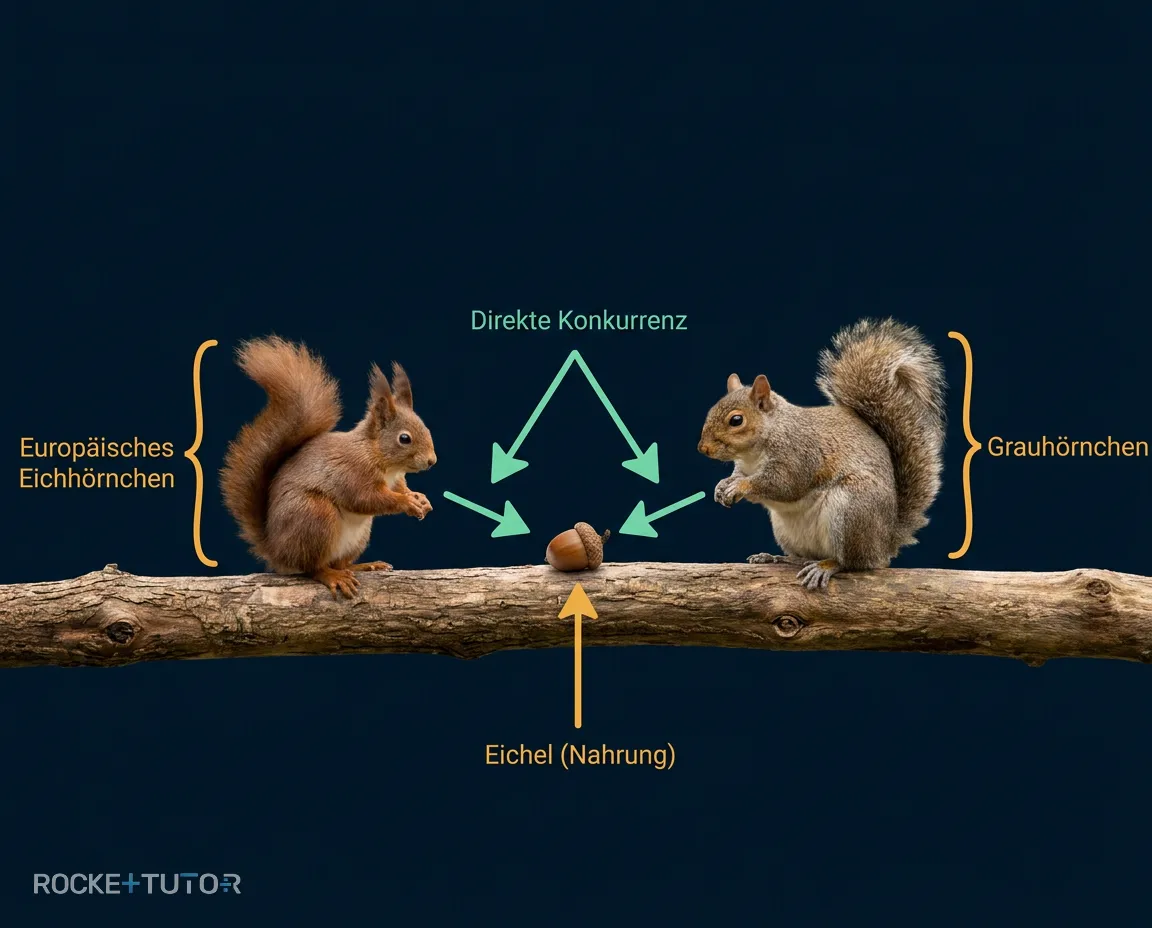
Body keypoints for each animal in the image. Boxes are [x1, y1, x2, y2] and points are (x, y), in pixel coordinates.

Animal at [219, 336, 436, 599]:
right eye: (404, 438)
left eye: (426, 428)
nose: (432, 460)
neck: (378, 456)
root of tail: (277, 550)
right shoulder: (353, 472)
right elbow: (367, 499)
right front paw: (406, 503)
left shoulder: (395, 479)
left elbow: (400, 488)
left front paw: (419, 498)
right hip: (315, 516)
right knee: (312, 567)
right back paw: (332, 576)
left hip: (359, 534)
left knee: (340, 562)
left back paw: (364, 565)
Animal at [697, 317, 946, 591]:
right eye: (712, 410)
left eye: (736, 420)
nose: (703, 448)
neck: (756, 449)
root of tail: (884, 542)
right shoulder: (744, 465)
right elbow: (738, 475)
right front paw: (723, 485)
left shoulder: (798, 455)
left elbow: (784, 484)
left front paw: (740, 487)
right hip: (787, 530)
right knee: (803, 556)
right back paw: (776, 558)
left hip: (852, 510)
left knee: (852, 563)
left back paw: (826, 566)